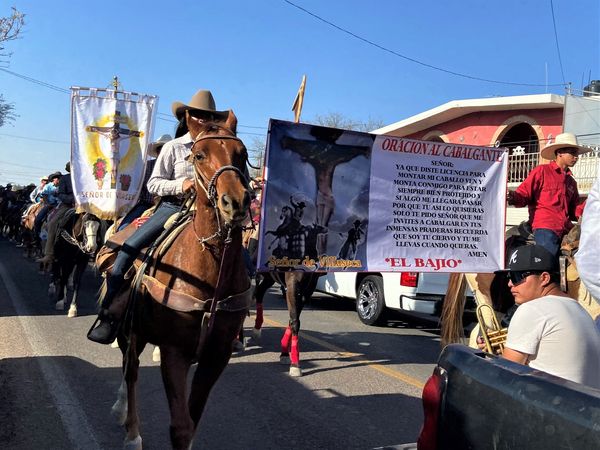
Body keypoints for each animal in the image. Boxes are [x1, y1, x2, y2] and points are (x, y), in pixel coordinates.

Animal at [111, 110, 252, 448]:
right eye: (199, 155)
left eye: (242, 154)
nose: (235, 203)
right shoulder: (174, 351)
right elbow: (180, 426)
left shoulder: (216, 355)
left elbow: (192, 420)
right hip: (130, 329)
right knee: (131, 370)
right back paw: (131, 429)